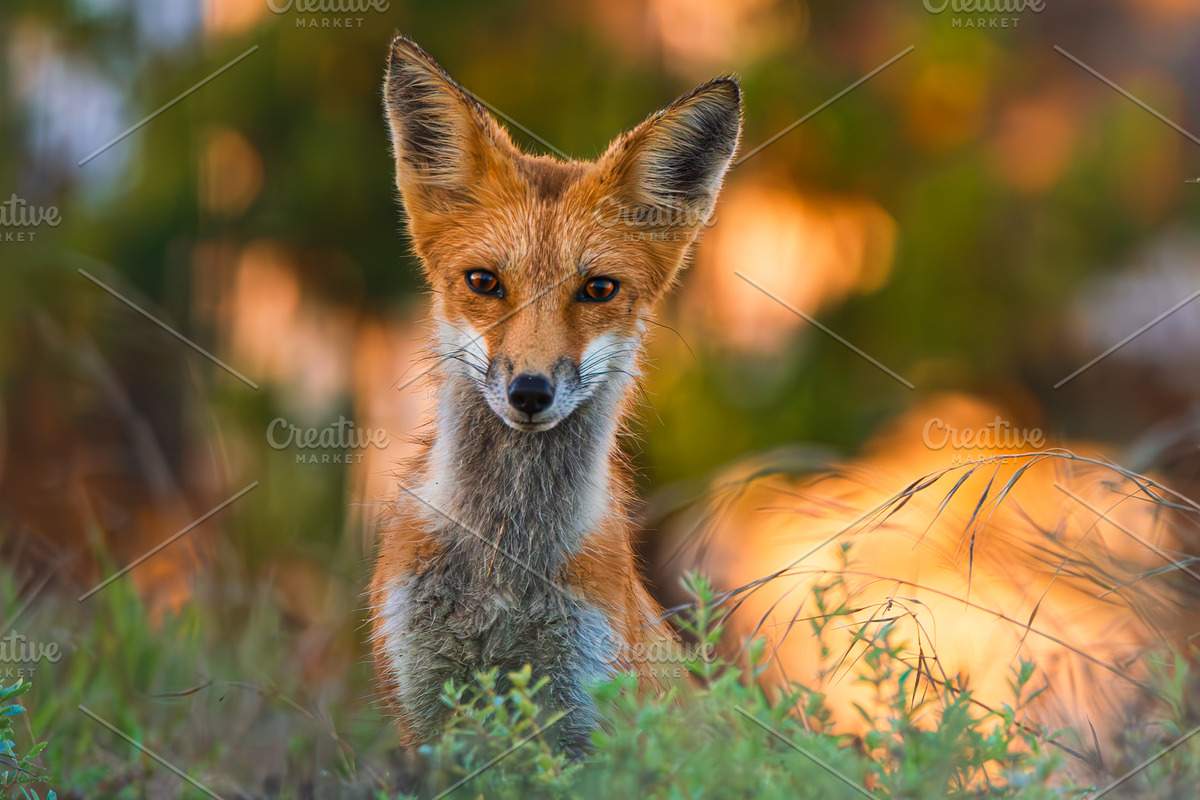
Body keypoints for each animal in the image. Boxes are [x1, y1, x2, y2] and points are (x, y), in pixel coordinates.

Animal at [368, 34, 741, 752]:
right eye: (484, 282)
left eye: (597, 289)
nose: (530, 391)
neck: (504, 567)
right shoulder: (421, 712)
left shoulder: (587, 713)